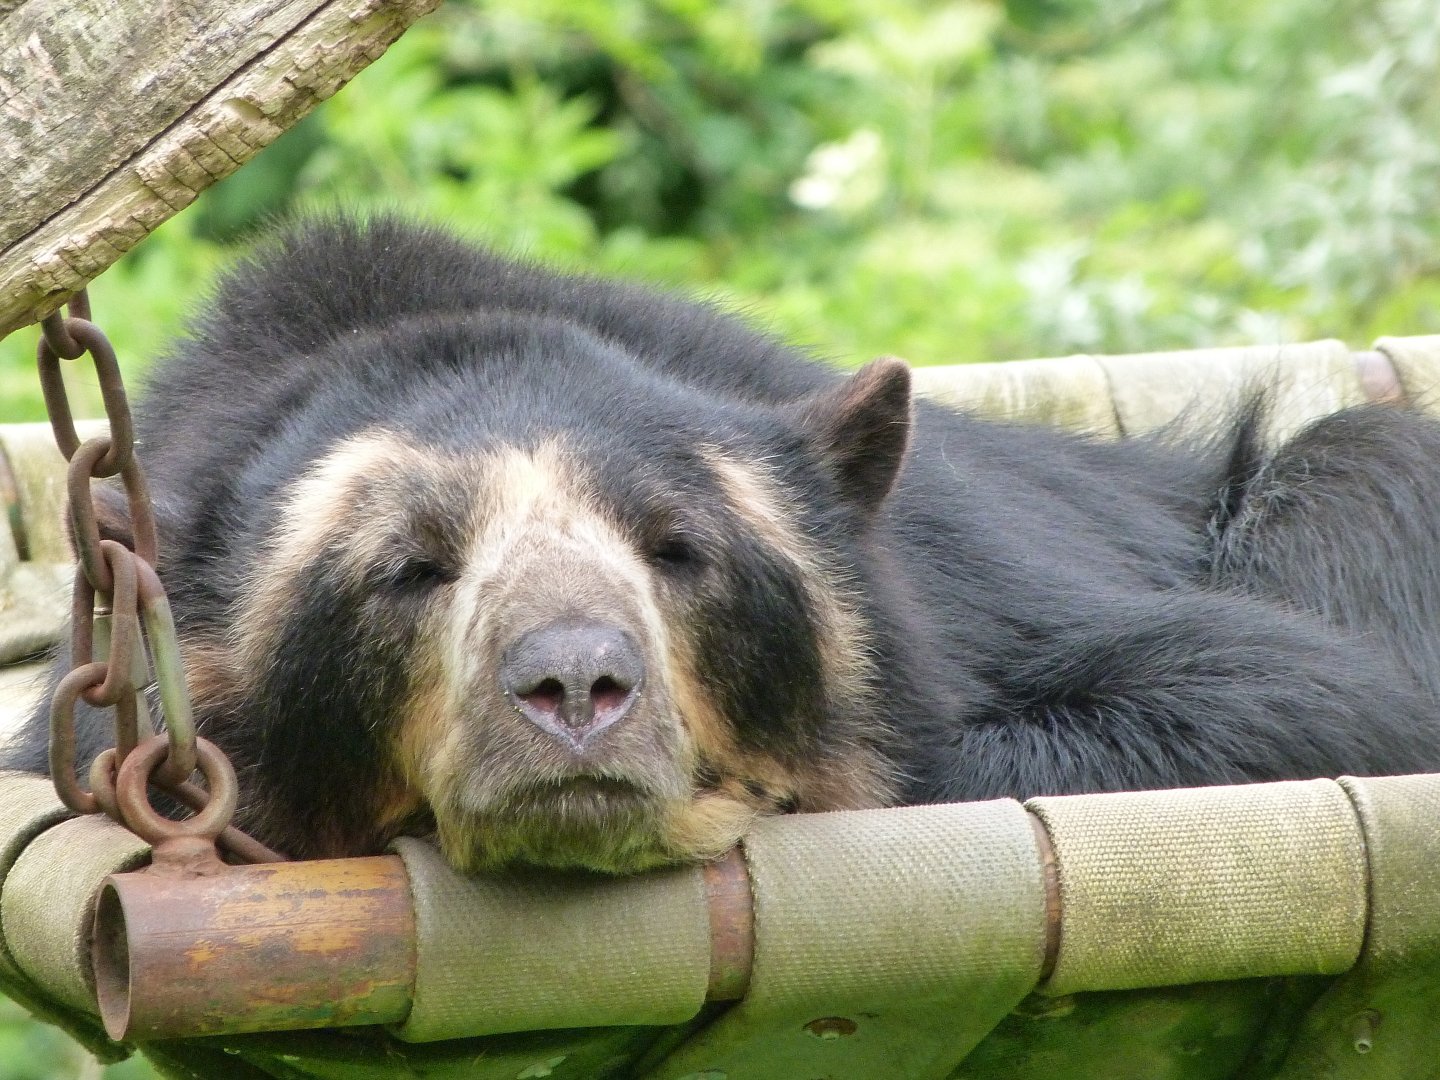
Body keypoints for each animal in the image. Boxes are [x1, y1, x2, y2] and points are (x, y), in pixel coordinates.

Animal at [7, 215, 1440, 873]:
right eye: (412, 570)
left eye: (677, 549)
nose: (576, 689)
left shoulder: (978, 584)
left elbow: (1290, 693)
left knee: (1362, 461)